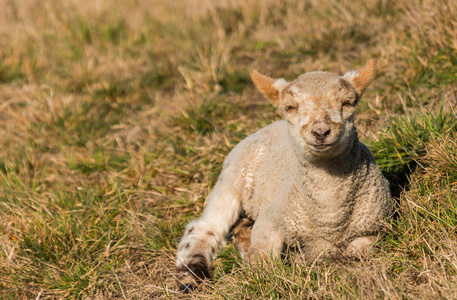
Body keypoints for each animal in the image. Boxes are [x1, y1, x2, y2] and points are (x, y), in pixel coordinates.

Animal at [175, 58, 392, 290]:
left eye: (347, 103)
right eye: (290, 107)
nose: (321, 132)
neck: (330, 217)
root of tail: (268, 126)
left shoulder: (377, 222)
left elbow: (364, 248)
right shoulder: (270, 221)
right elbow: (265, 264)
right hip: (231, 180)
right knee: (205, 228)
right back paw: (191, 274)